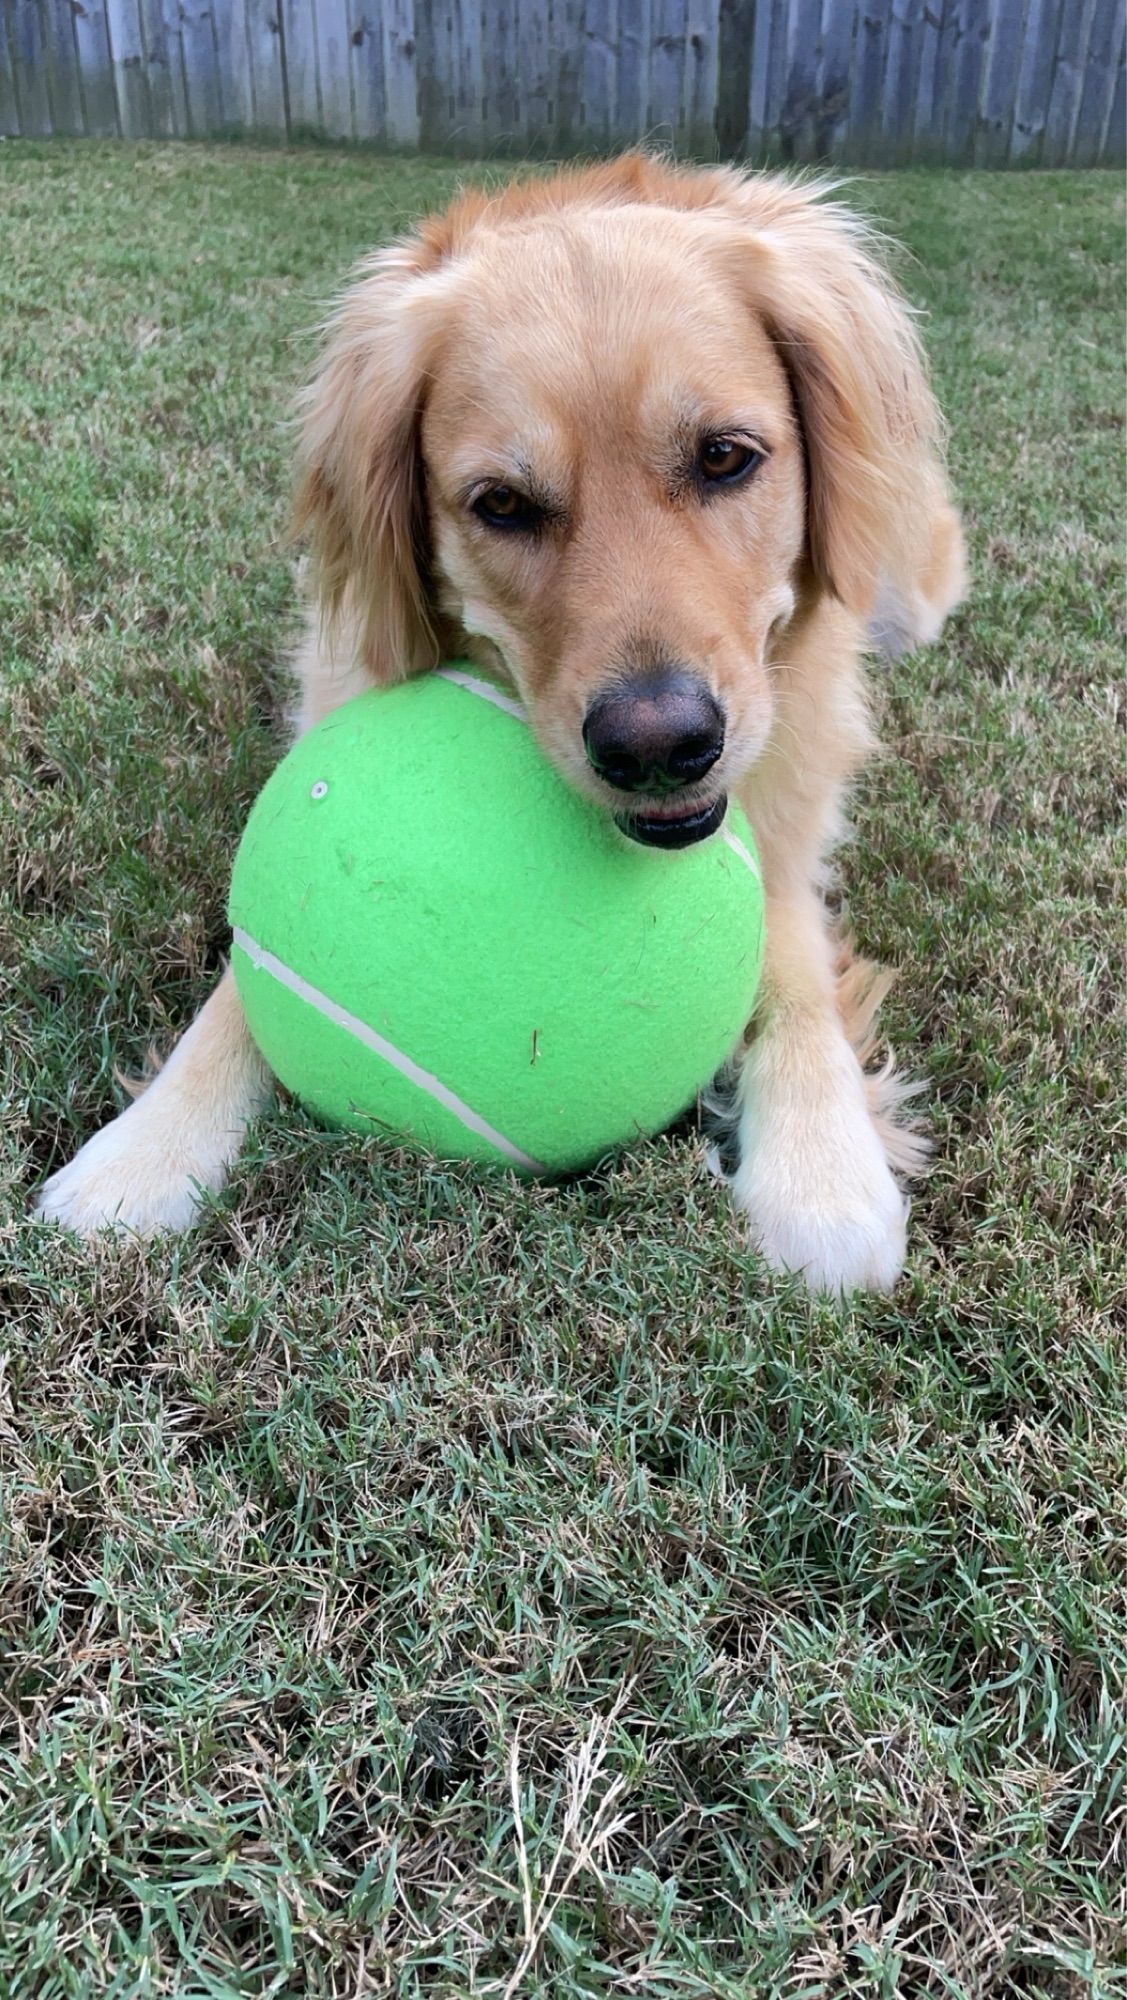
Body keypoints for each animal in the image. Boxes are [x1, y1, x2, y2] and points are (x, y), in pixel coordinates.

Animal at [39, 156, 963, 1296]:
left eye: (723, 458)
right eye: (503, 505)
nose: (658, 747)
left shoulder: (781, 838)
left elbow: (793, 981)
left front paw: (822, 1176)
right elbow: (236, 994)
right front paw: (143, 1152)